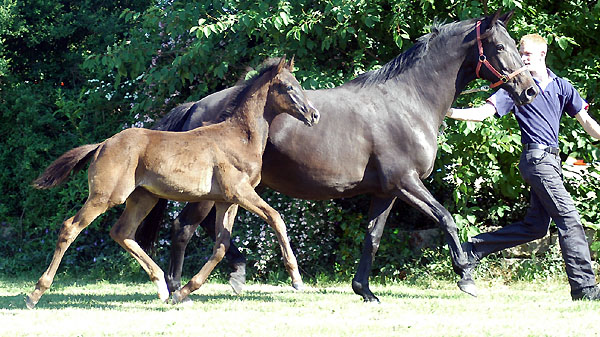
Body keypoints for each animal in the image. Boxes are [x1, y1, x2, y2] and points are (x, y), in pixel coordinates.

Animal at [27, 57, 318, 308]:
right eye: (289, 87)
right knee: (70, 228)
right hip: (106, 196)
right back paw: (35, 293)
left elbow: (221, 245)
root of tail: (102, 145)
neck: (239, 137)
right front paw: (296, 278)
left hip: (143, 198)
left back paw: (163, 288)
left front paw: (185, 291)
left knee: (122, 232)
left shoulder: (227, 201)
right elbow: (276, 217)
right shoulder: (240, 192)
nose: (314, 115)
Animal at [138, 10, 536, 300]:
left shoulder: (387, 191)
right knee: (183, 228)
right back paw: (178, 288)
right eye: (500, 47)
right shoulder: (407, 182)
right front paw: (466, 277)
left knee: (204, 228)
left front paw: (365, 291)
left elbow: (373, 237)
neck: (409, 101)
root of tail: (195, 106)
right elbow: (446, 219)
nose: (530, 89)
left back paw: (234, 273)